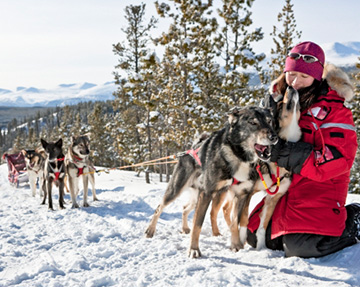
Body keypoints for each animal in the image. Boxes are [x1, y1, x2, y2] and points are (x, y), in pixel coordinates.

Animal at [145, 106, 278, 258]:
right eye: (253, 122)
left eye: (269, 121)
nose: (274, 137)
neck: (238, 157)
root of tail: (191, 149)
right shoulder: (207, 193)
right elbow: (198, 224)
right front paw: (194, 249)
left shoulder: (241, 195)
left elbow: (235, 222)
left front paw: (236, 245)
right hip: (178, 189)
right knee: (160, 206)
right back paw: (150, 230)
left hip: (205, 196)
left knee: (185, 208)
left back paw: (186, 228)